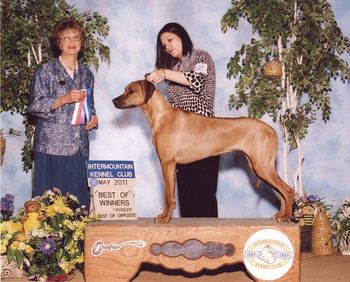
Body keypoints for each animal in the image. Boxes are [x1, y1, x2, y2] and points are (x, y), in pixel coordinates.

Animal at [113, 80, 294, 224]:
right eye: (125, 89)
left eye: (131, 91)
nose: (114, 100)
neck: (161, 116)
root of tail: (271, 130)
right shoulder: (171, 165)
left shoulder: (167, 163)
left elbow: (168, 196)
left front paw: (164, 218)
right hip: (259, 166)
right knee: (281, 191)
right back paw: (281, 215)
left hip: (261, 166)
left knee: (288, 190)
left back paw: (286, 217)